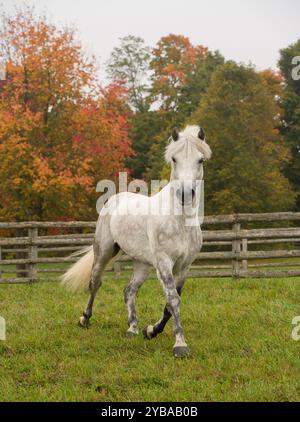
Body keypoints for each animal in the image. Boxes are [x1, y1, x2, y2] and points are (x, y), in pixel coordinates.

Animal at [61, 124, 211, 356]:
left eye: (200, 160)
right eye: (174, 159)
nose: (186, 194)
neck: (180, 220)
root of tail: (114, 198)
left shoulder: (184, 267)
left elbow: (169, 305)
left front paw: (150, 331)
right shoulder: (164, 264)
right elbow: (173, 301)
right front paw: (180, 345)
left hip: (142, 264)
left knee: (129, 290)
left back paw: (132, 328)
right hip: (104, 251)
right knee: (95, 283)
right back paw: (84, 319)